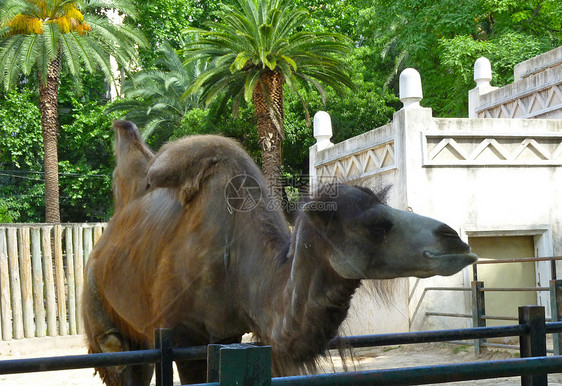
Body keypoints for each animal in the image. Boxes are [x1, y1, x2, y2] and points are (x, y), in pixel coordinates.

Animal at [84, 120, 476, 382]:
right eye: (377, 226)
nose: (455, 240)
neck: (234, 261)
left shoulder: (226, 336)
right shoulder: (180, 337)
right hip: (102, 319)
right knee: (119, 358)